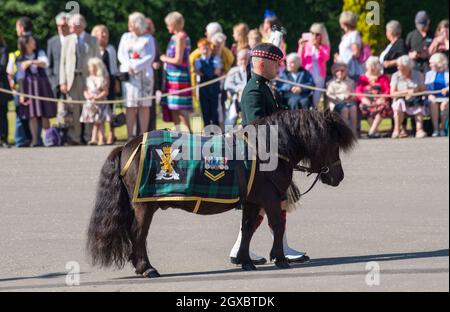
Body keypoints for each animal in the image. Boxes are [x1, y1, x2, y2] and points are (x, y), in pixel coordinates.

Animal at [86, 109, 356, 278]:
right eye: (332, 144)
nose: (339, 176)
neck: (266, 150)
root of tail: (127, 146)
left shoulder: (252, 201)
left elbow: (248, 228)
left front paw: (245, 260)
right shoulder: (269, 199)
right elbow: (277, 226)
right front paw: (280, 258)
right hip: (144, 205)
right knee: (138, 234)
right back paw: (147, 268)